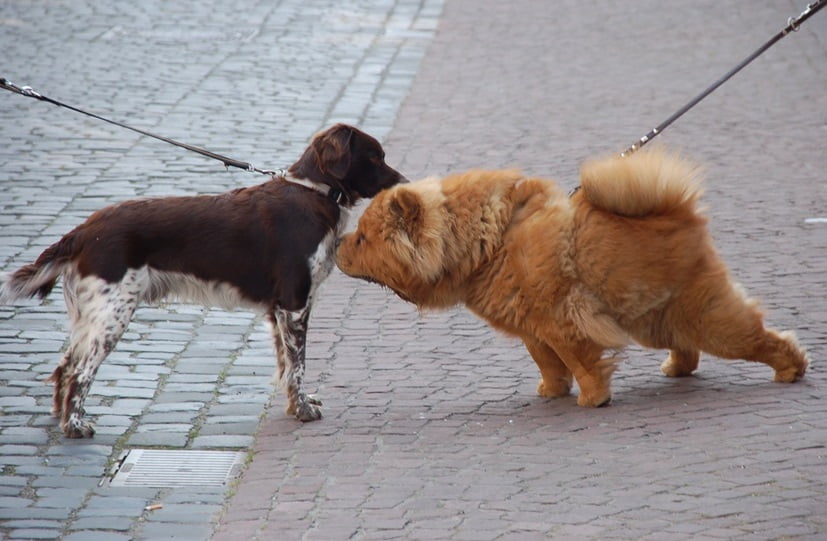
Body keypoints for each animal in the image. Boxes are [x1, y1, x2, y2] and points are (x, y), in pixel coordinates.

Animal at [0, 122, 408, 434]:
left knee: (65, 366)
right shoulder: (294, 304)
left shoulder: (278, 310)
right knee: (81, 373)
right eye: (375, 156)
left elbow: (286, 367)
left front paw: (298, 405)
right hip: (111, 313)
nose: (403, 182)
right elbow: (299, 365)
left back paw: (60, 418)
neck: (316, 194)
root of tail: (83, 231)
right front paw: (304, 412)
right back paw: (75, 426)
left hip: (91, 315)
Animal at [336, 148, 808, 404]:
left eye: (362, 238)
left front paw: (592, 398)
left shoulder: (562, 320)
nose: (338, 240)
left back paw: (791, 369)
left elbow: (580, 361)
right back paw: (676, 368)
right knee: (688, 348)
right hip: (655, 318)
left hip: (707, 318)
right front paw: (552, 390)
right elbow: (548, 362)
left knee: (763, 339)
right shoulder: (533, 328)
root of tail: (679, 213)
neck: (488, 244)